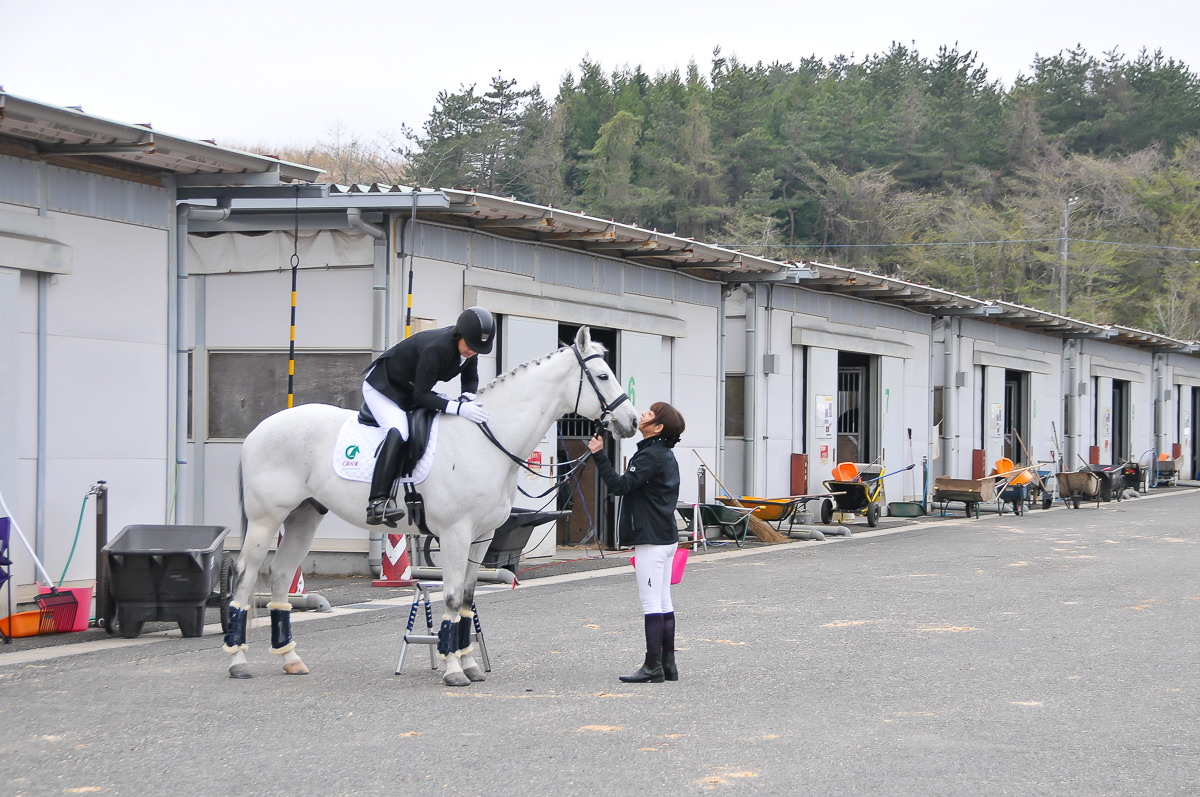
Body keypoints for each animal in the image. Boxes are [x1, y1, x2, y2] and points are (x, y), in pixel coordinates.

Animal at [224, 326, 638, 681]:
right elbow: (452, 597)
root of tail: (259, 430)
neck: (485, 439)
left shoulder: (481, 537)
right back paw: (238, 661)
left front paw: (469, 664)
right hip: (265, 519)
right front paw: (453, 670)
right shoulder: (455, 534)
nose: (631, 421)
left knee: (280, 575)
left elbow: (468, 599)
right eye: (602, 376)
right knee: (246, 574)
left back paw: (291, 659)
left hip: (304, 516)